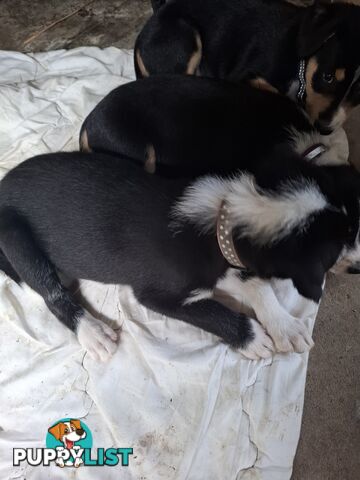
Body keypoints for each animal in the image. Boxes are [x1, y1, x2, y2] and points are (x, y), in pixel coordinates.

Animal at [0, 151, 358, 360]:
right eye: (337, 251)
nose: (356, 267)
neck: (222, 219)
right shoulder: (157, 295)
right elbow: (211, 311)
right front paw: (252, 337)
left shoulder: (227, 260)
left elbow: (258, 285)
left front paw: (285, 326)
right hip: (15, 236)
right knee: (50, 292)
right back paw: (92, 331)